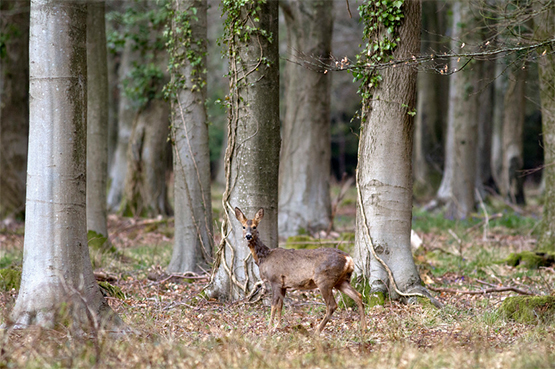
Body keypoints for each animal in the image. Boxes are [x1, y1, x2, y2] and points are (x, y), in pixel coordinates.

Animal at [237, 207, 368, 334]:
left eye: (254, 226)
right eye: (243, 226)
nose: (248, 236)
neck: (264, 257)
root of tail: (348, 258)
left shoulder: (275, 280)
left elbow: (273, 305)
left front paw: (269, 328)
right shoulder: (284, 285)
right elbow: (280, 305)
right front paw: (278, 326)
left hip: (324, 279)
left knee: (332, 305)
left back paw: (317, 331)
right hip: (342, 281)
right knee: (358, 296)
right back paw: (363, 328)